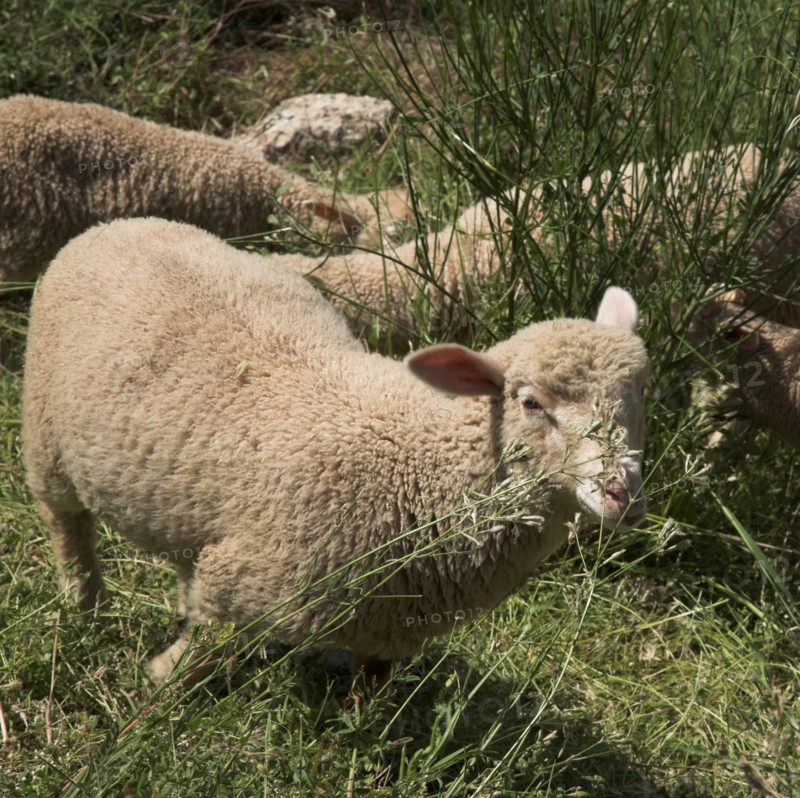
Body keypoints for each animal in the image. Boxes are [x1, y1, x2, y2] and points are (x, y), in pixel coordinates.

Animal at [22, 217, 649, 685]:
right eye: (531, 403)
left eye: (639, 394)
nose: (623, 495)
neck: (422, 466)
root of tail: (117, 224)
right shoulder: (243, 578)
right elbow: (198, 647)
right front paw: (156, 687)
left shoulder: (389, 630)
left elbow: (369, 700)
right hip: (45, 437)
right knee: (66, 523)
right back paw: (86, 607)